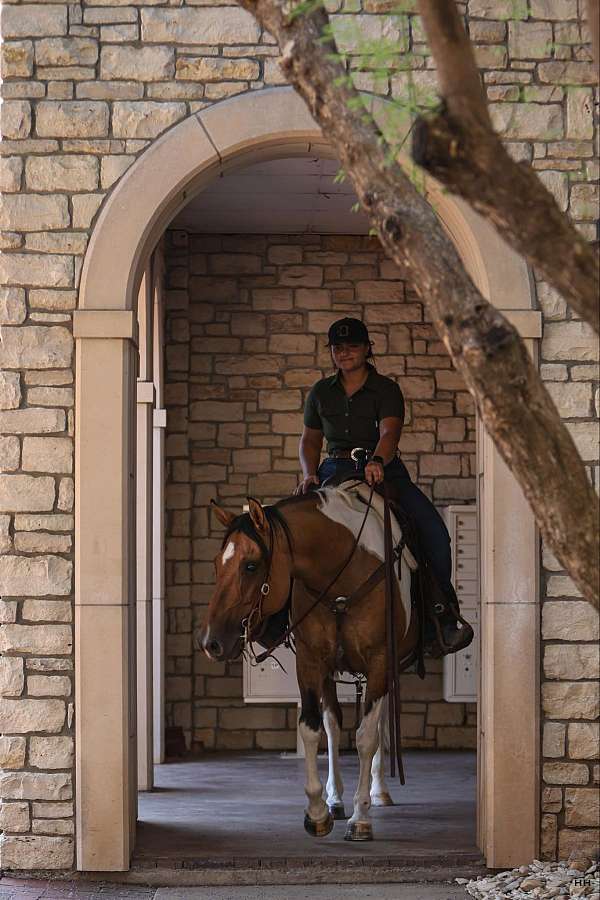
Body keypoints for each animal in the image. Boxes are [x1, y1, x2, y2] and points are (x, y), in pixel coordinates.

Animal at [197, 486, 418, 844]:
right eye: (217, 564)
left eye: (251, 565)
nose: (210, 642)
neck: (344, 577)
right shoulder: (312, 661)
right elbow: (313, 728)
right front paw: (317, 811)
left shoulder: (381, 660)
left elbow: (366, 737)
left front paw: (361, 818)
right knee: (334, 724)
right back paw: (336, 799)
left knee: (379, 725)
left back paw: (379, 790)